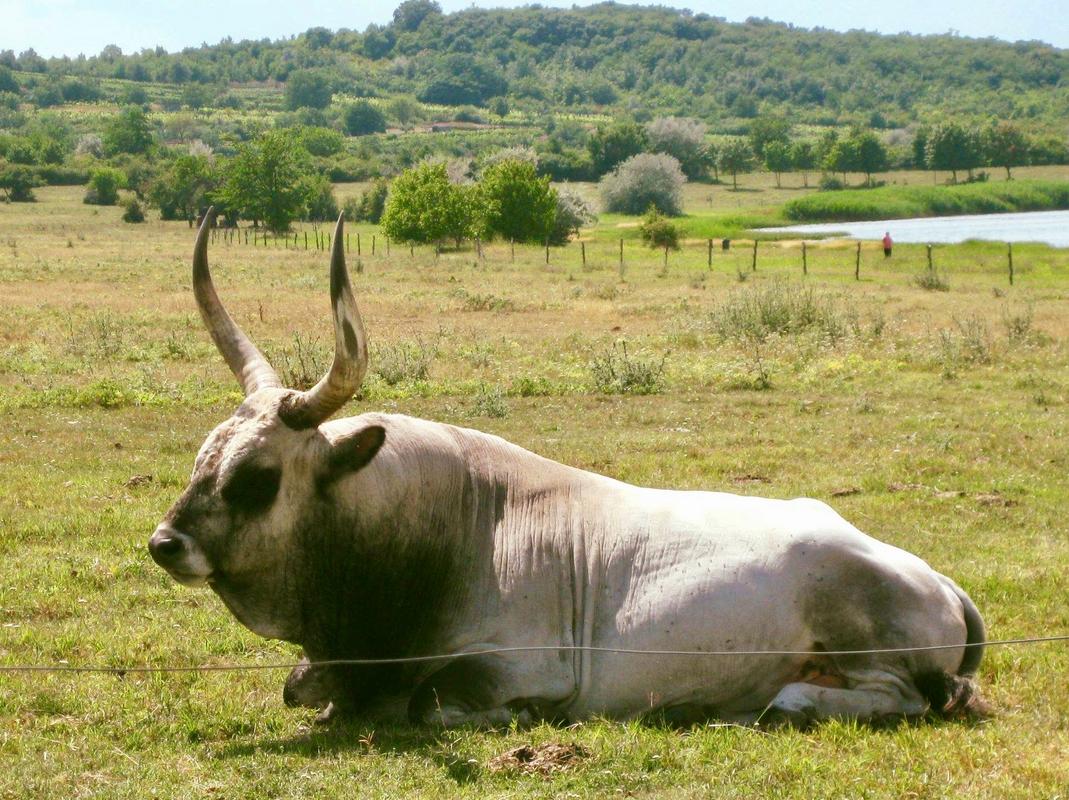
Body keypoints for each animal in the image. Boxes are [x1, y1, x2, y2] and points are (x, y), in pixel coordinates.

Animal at [148, 212, 983, 722]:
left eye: (258, 477)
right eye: (203, 458)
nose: (164, 544)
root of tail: (933, 576)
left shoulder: (517, 671)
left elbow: (428, 702)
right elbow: (299, 689)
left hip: (871, 653)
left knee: (909, 698)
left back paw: (787, 703)